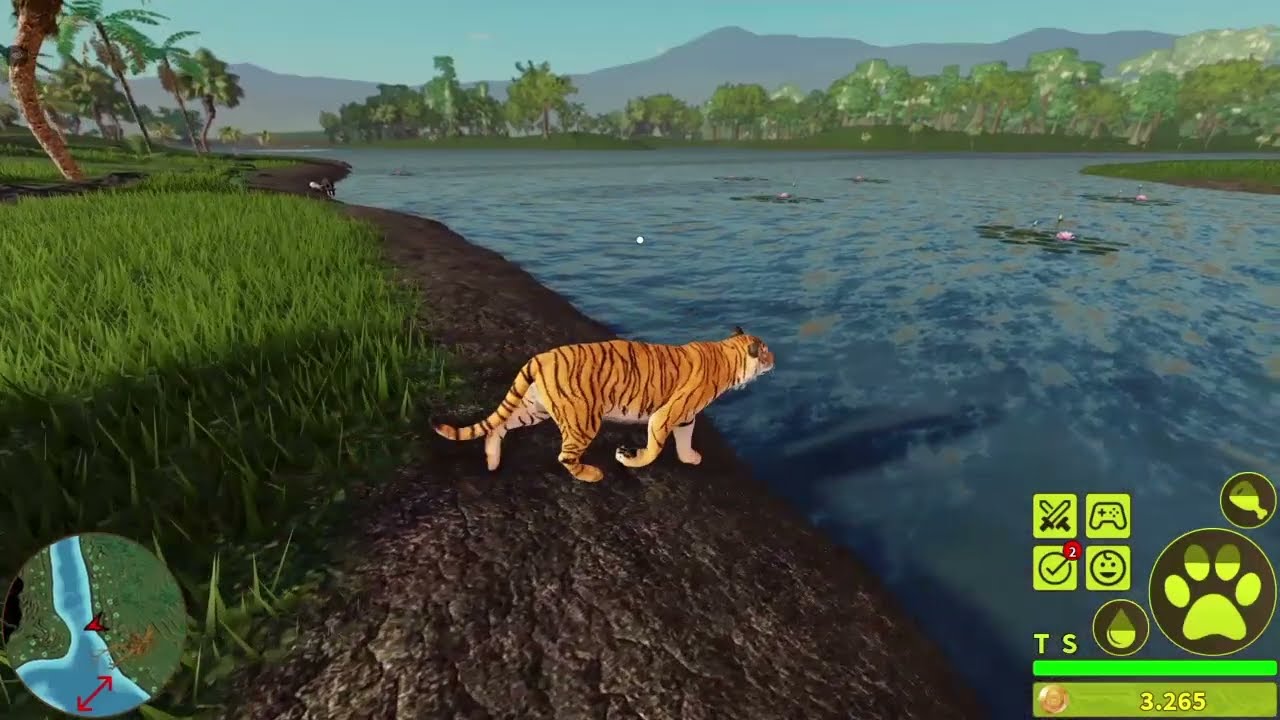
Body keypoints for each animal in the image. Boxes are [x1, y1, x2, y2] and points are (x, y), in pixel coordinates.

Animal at [432, 326, 776, 482]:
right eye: (767, 351)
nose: (775, 359)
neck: (728, 355)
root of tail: (540, 357)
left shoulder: (684, 416)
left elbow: (684, 438)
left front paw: (689, 458)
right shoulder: (664, 416)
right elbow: (653, 449)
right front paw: (628, 457)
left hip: (534, 408)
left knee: (498, 427)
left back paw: (492, 461)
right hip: (582, 419)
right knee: (565, 456)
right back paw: (590, 474)